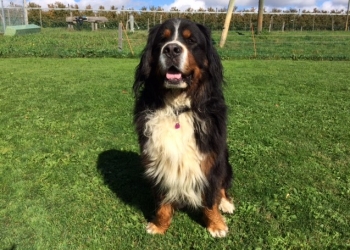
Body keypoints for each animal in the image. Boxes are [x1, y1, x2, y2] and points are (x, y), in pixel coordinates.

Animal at [133, 18, 235, 238]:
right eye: (162, 40)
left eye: (191, 40)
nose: (171, 49)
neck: (178, 108)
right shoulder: (156, 158)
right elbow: (162, 199)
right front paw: (159, 225)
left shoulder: (210, 158)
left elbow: (211, 195)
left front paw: (216, 225)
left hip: (225, 159)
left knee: (223, 186)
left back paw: (226, 203)